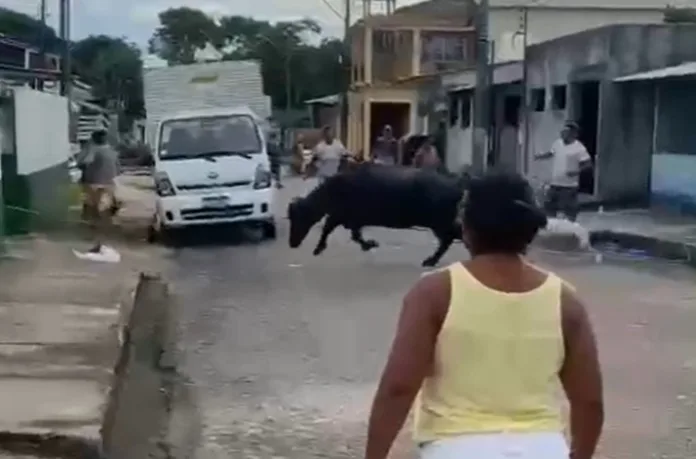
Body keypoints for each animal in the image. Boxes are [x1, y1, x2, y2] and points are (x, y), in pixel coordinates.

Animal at [286, 164, 470, 268]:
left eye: (298, 217)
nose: (292, 243)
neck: (330, 191)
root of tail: (456, 186)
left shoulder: (339, 216)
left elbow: (327, 229)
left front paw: (318, 248)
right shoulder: (351, 220)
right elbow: (354, 235)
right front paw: (369, 244)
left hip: (440, 222)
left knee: (450, 237)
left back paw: (431, 260)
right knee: (450, 239)